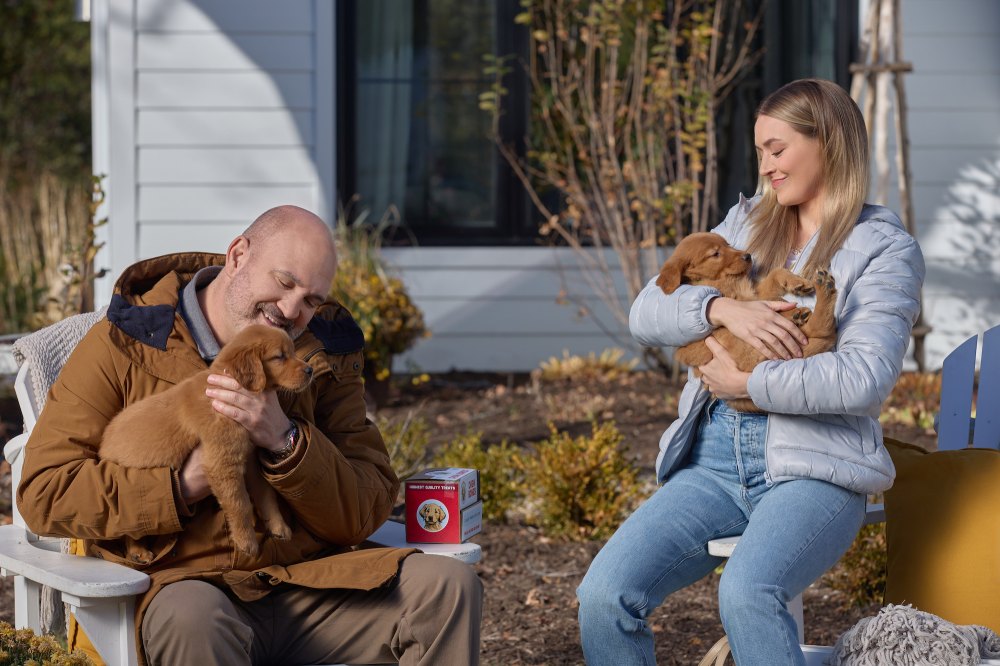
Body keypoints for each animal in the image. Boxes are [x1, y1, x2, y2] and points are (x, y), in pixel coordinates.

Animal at [100, 322, 312, 560]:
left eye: (292, 352)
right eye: (279, 357)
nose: (310, 370)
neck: (228, 384)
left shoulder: (248, 460)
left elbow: (266, 494)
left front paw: (278, 527)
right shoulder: (223, 464)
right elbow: (240, 504)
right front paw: (246, 541)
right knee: (130, 527)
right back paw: (138, 551)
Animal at [656, 231, 836, 412]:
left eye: (727, 244)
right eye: (715, 254)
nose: (748, 256)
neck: (723, 280)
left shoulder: (755, 292)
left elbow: (776, 273)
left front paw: (798, 283)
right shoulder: (744, 304)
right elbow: (765, 308)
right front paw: (790, 310)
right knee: (821, 330)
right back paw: (819, 295)